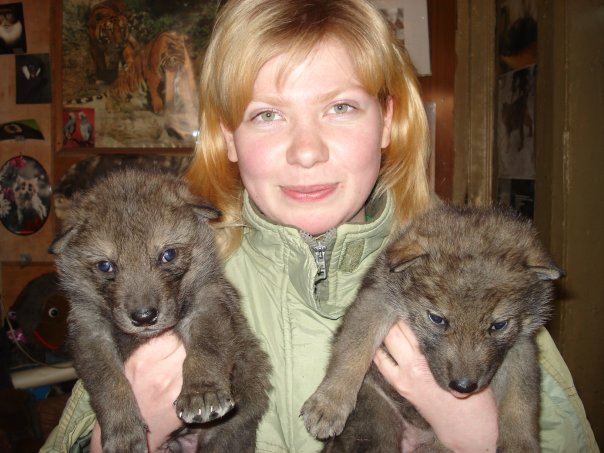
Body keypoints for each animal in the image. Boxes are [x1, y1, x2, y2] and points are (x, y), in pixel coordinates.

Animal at [50, 169, 270, 453]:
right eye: (105, 265)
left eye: (168, 254)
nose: (144, 317)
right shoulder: (90, 333)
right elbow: (109, 384)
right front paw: (123, 433)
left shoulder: (208, 302)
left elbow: (206, 349)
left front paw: (202, 392)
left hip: (229, 432)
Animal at [301, 203, 562, 452]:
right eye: (437, 319)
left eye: (498, 325)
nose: (463, 387)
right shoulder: (377, 299)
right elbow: (354, 347)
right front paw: (330, 403)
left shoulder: (521, 345)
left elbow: (521, 398)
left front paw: (520, 444)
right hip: (373, 416)